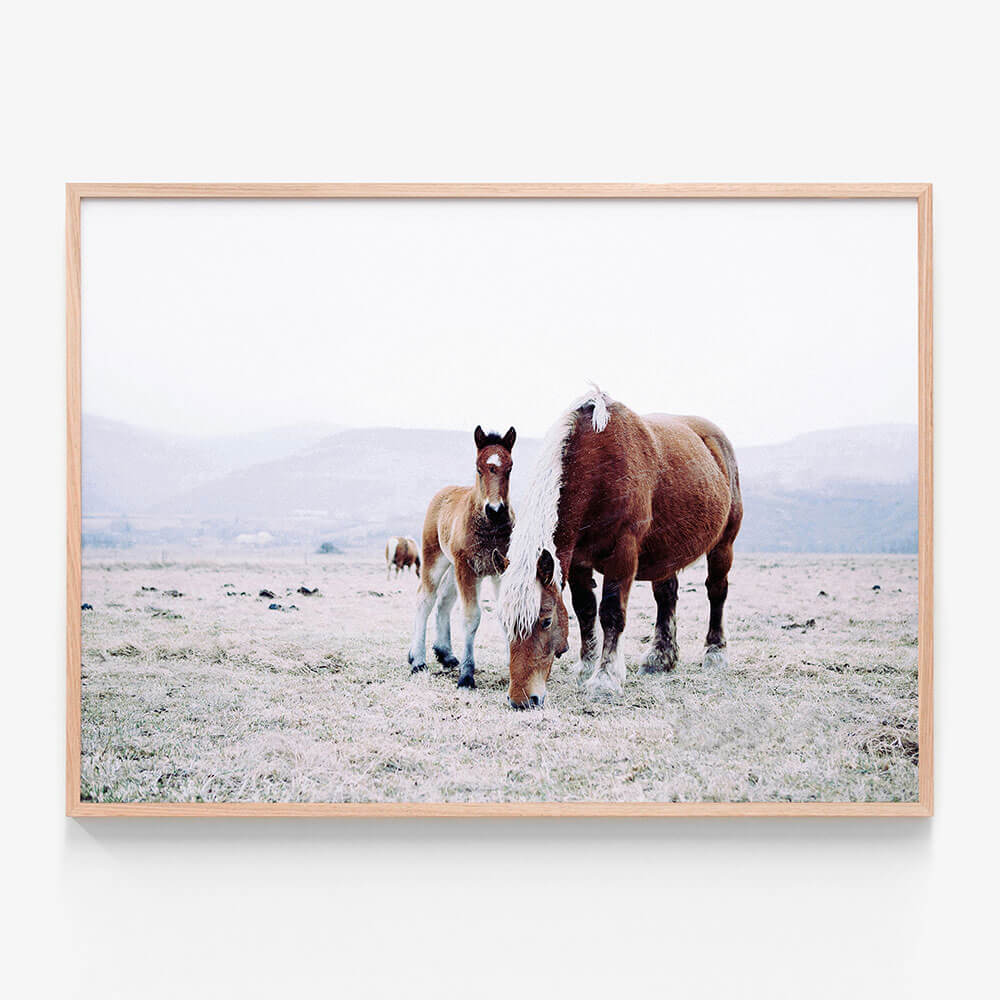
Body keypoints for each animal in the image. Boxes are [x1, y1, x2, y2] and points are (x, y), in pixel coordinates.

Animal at [408, 425, 516, 689]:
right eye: (478, 468)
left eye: (510, 468)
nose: (495, 510)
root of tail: (445, 491)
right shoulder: (468, 568)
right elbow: (471, 617)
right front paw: (467, 676)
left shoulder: (501, 569)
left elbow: (507, 614)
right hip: (436, 559)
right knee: (425, 599)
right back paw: (417, 660)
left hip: (454, 566)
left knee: (443, 601)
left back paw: (444, 653)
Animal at [496, 388, 742, 709]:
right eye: (504, 623)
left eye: (546, 621)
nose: (522, 700)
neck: (597, 466)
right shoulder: (578, 561)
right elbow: (585, 610)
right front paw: (586, 667)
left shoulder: (622, 554)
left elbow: (611, 613)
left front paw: (605, 680)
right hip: (665, 552)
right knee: (666, 596)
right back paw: (660, 658)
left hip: (723, 545)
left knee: (716, 591)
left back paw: (715, 652)